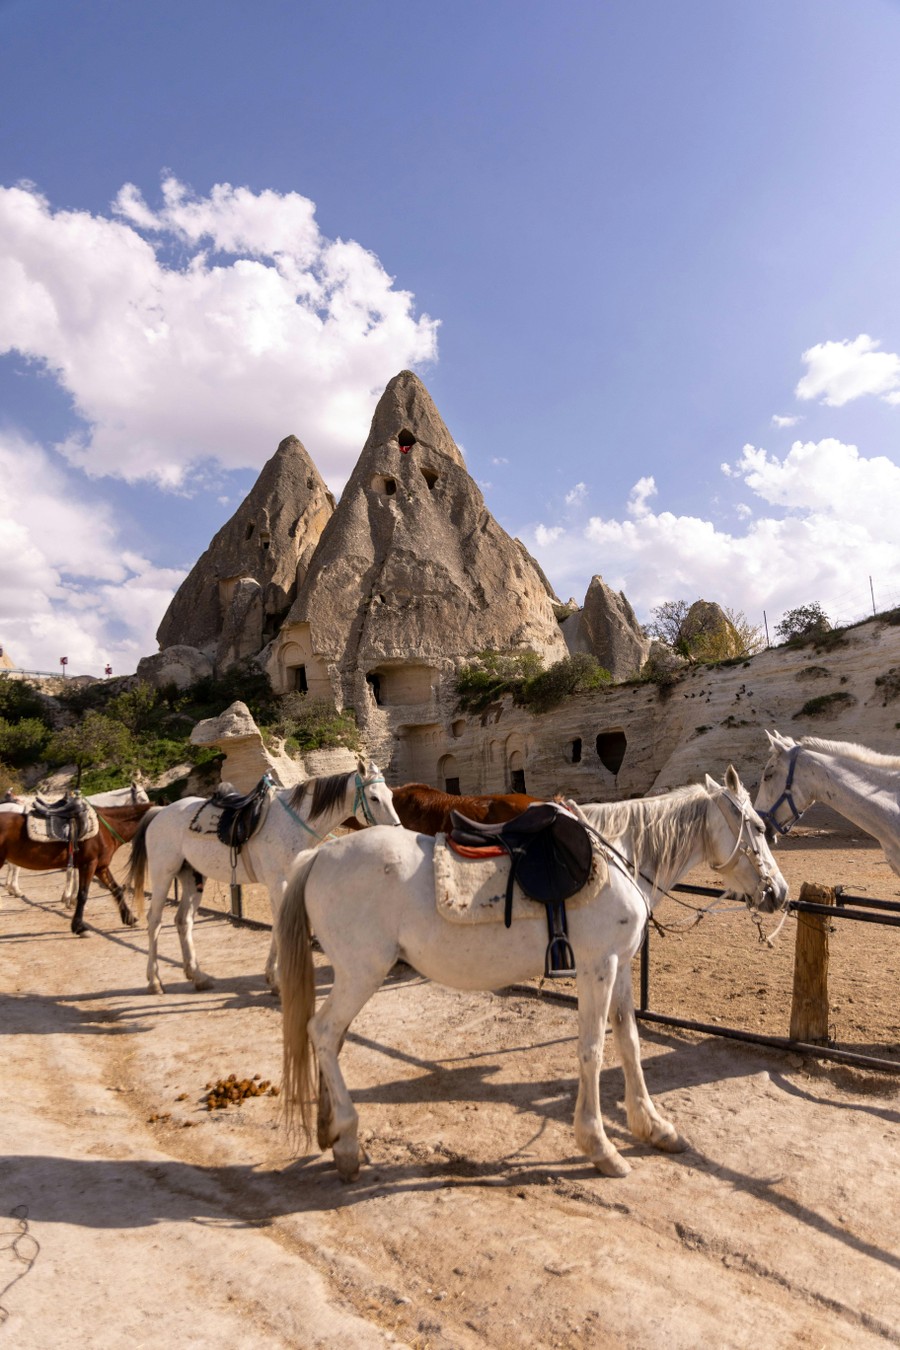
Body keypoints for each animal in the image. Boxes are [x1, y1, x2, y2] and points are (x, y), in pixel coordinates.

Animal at [0, 784, 149, 902]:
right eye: (142, 799)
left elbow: (73, 872)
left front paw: (68, 897)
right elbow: (74, 873)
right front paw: (70, 897)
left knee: (14, 866)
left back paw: (12, 888)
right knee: (15, 867)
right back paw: (15, 889)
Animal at [0, 798, 156, 934]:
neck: (105, 829)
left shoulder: (101, 867)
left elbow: (116, 889)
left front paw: (129, 918)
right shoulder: (89, 865)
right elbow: (82, 894)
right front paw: (79, 927)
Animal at [127, 760, 401, 995]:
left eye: (391, 795)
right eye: (374, 798)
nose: (397, 831)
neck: (295, 822)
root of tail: (160, 811)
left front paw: (273, 978)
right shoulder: (278, 883)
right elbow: (280, 926)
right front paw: (278, 981)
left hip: (192, 877)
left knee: (183, 920)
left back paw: (197, 976)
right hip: (163, 874)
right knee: (154, 921)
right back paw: (154, 981)